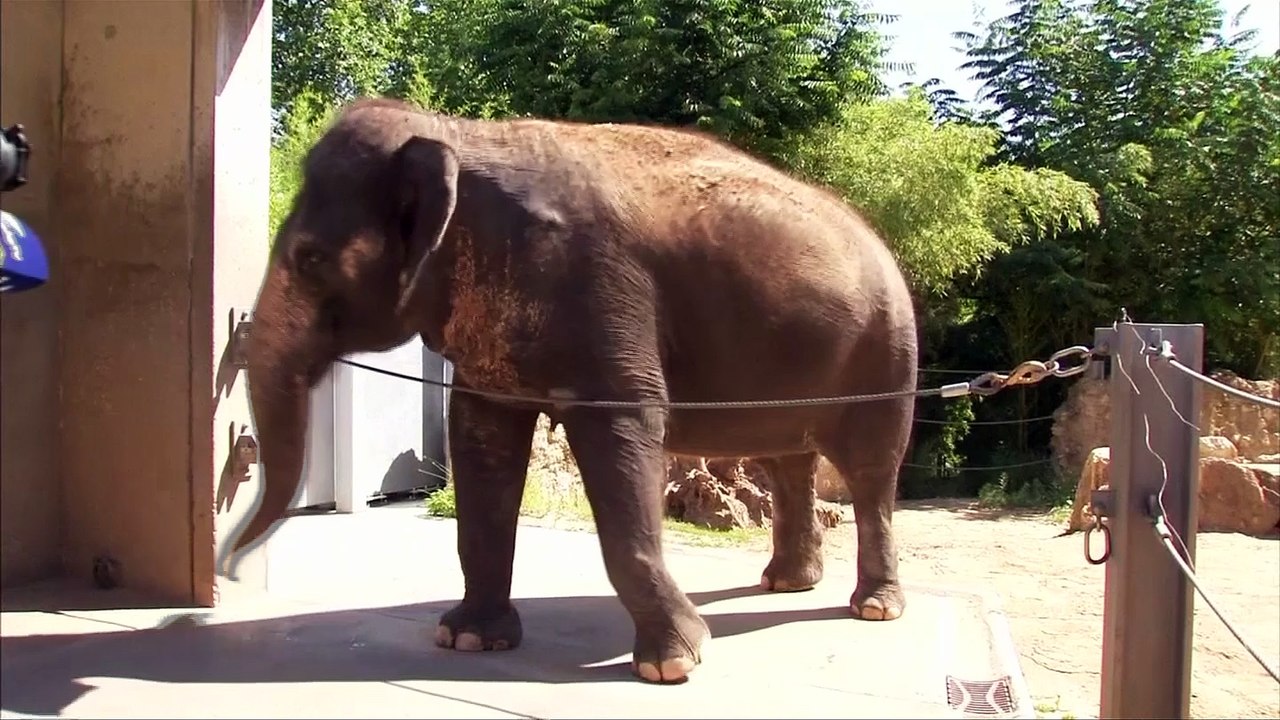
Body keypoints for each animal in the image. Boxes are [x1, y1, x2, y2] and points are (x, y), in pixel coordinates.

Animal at [232, 97, 919, 685]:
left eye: (311, 259)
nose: (232, 565)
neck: (458, 134)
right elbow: (480, 439)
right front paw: (468, 640)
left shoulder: (603, 295)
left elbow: (624, 438)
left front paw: (675, 664)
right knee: (785, 459)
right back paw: (787, 583)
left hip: (886, 353)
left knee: (869, 472)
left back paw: (873, 608)